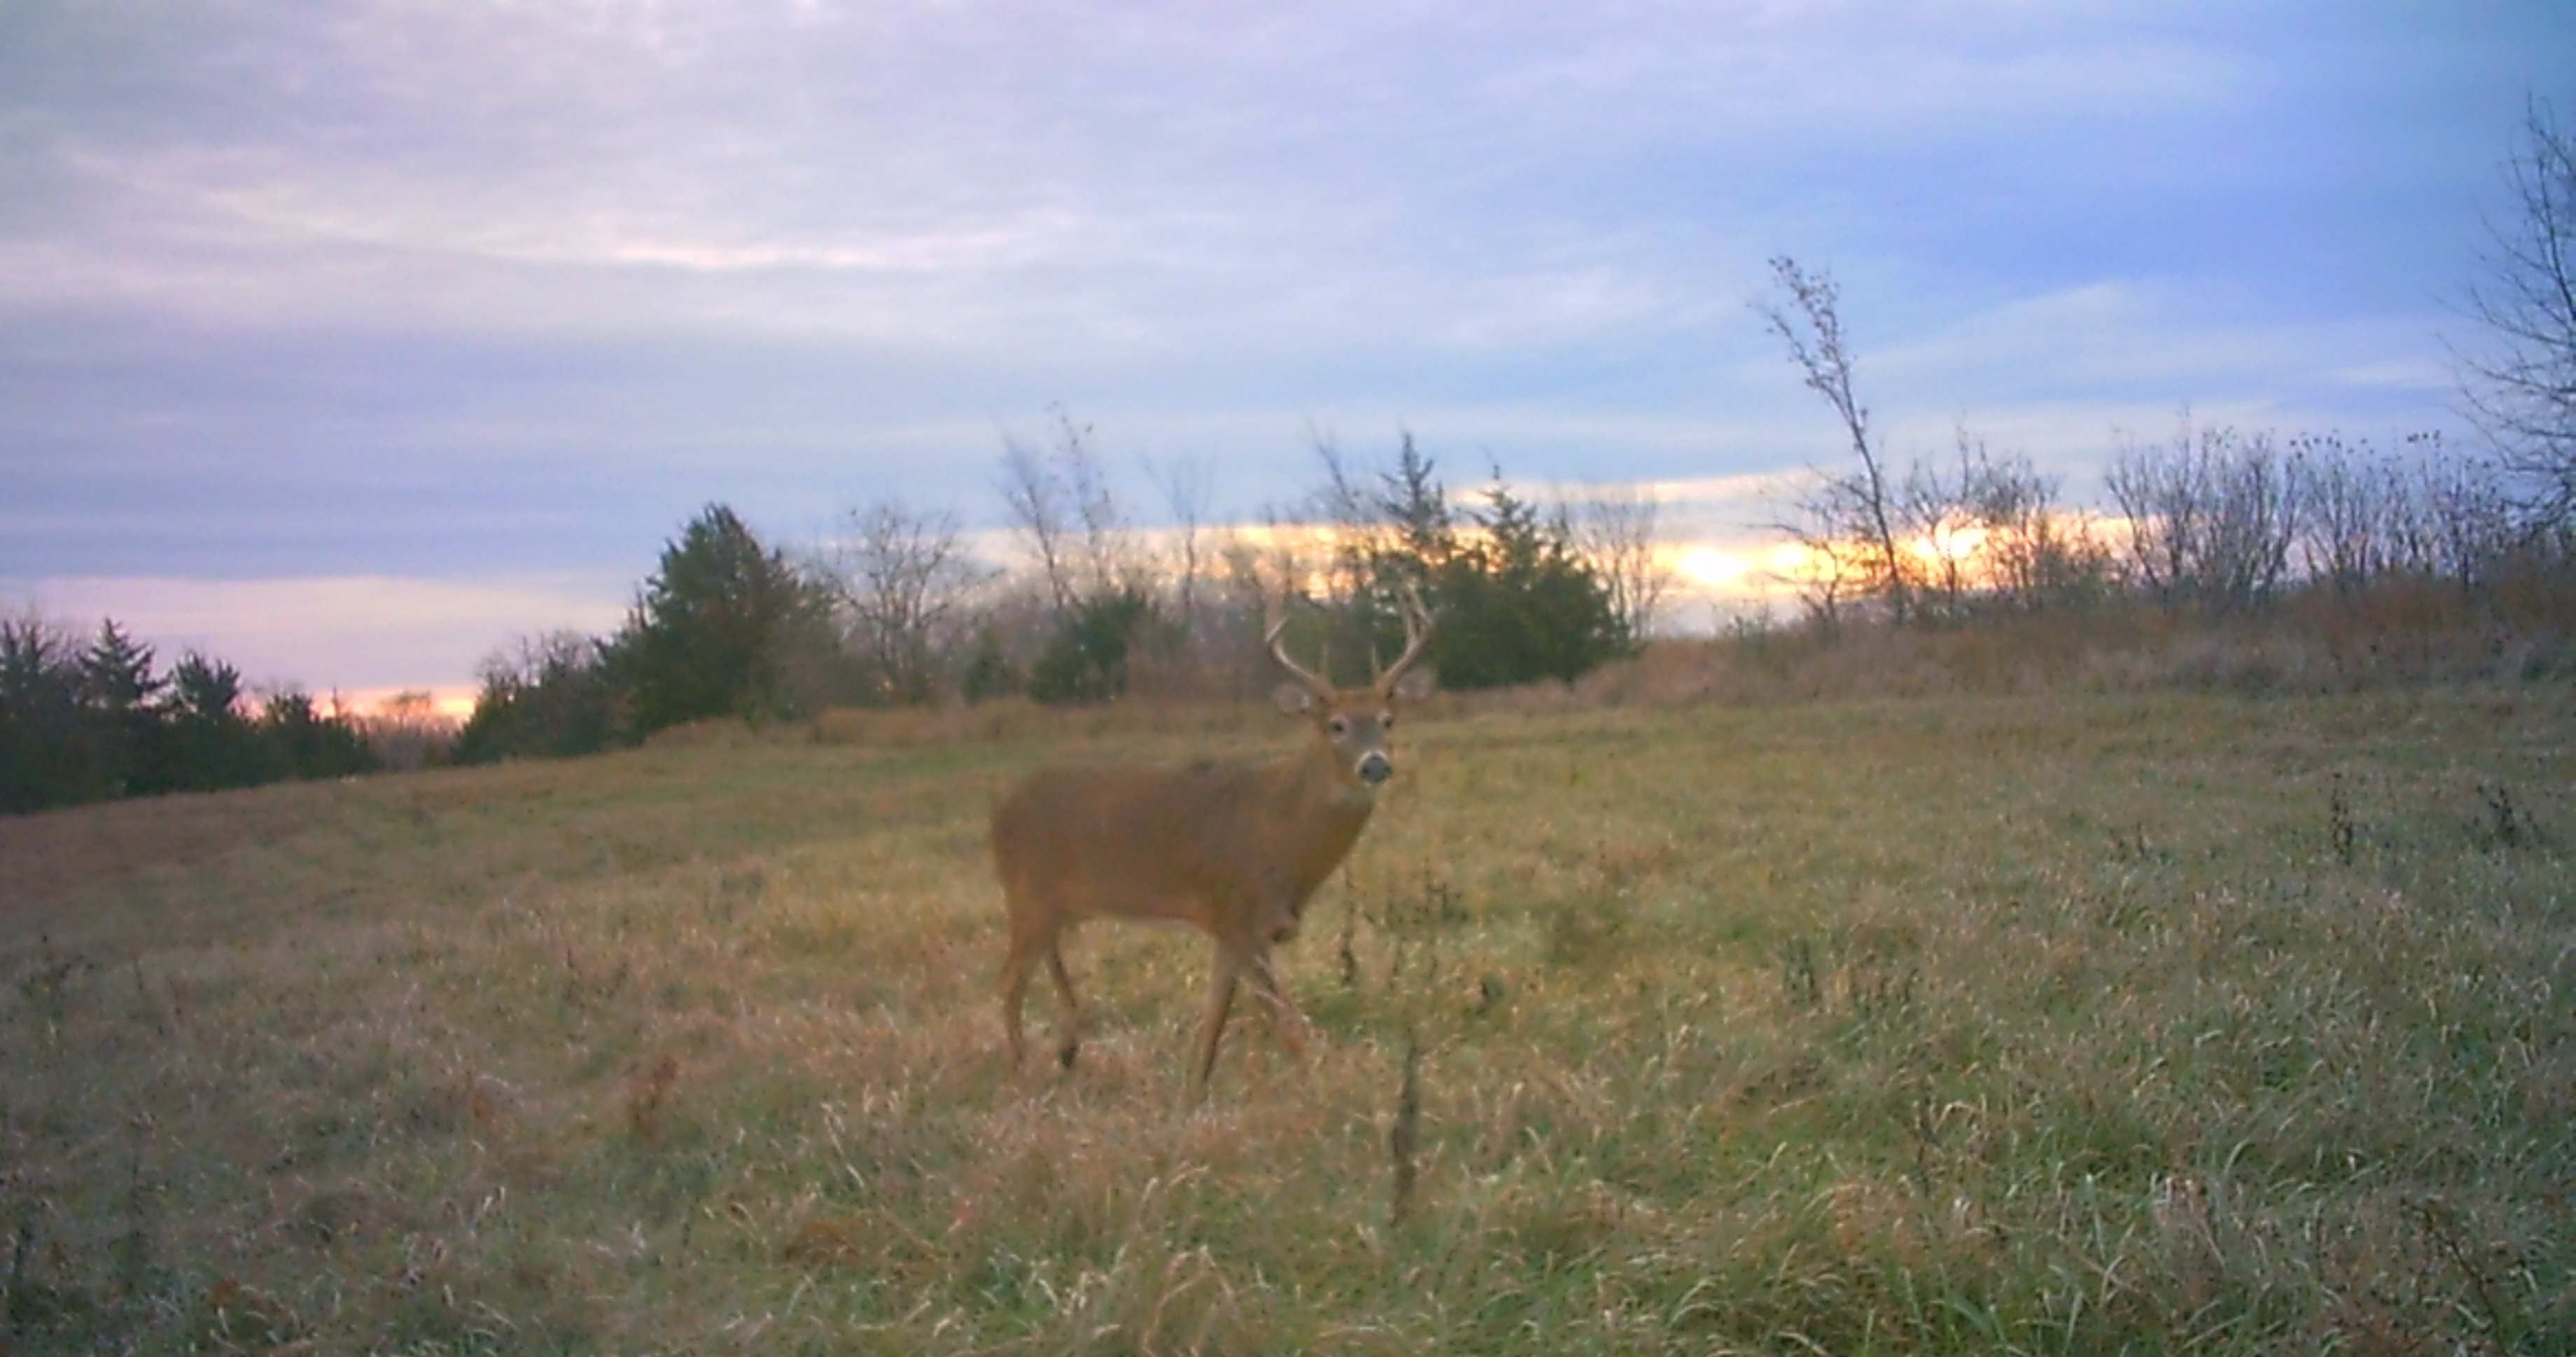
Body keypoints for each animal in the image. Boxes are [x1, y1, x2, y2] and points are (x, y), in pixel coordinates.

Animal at [990, 587, 1436, 1100]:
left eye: (1388, 720)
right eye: (1336, 725)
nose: (1375, 764)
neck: (1282, 833)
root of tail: (999, 813)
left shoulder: (1227, 926)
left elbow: (1214, 1019)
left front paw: (1194, 1093)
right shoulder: (1240, 914)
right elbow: (1285, 1023)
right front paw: (1317, 1091)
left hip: (1053, 905)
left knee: (1046, 960)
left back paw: (1067, 1049)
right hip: (1027, 893)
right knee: (1009, 981)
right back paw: (1023, 1070)